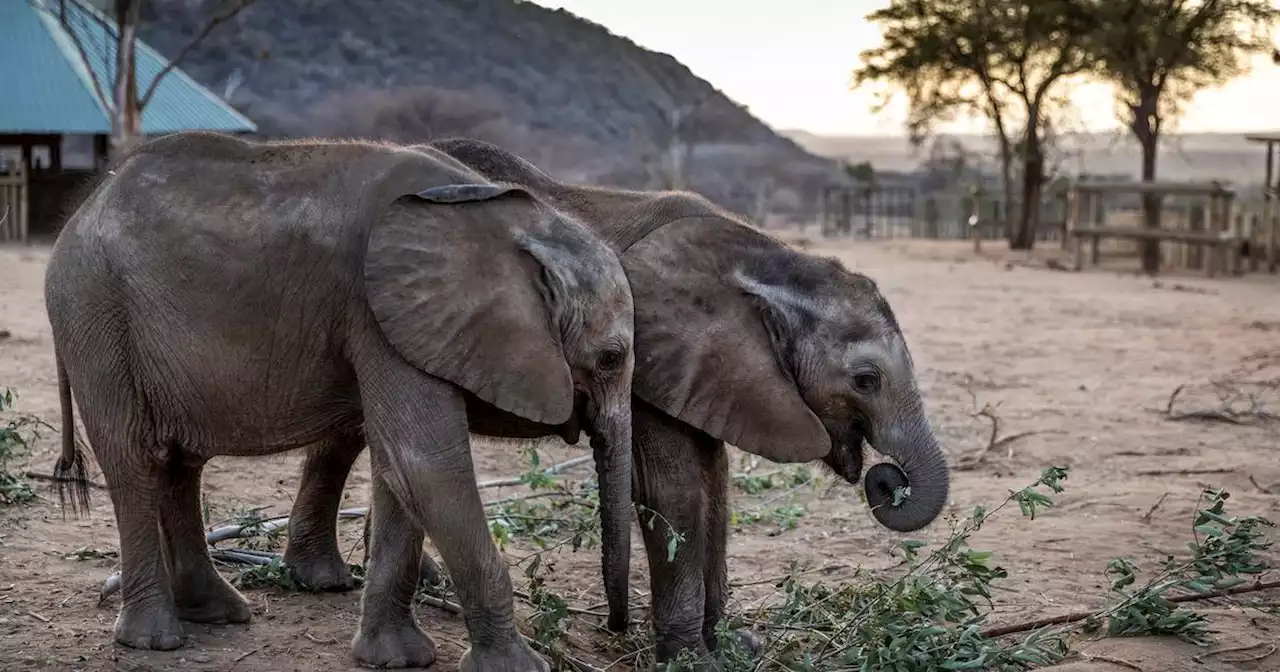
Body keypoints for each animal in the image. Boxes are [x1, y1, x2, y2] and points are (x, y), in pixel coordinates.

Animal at [41, 131, 640, 670]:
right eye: (611, 358)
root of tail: (83, 208)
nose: (618, 631)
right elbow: (424, 464)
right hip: (93, 313)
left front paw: (395, 660)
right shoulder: (379, 314)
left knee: (178, 463)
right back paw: (155, 640)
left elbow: (400, 472)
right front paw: (517, 667)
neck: (510, 215)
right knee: (133, 460)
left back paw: (217, 613)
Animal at [285, 136, 957, 660]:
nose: (887, 481)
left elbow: (715, 484)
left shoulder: (710, 373)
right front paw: (691, 658)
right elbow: (674, 490)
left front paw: (729, 646)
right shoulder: (658, 363)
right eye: (866, 380)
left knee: (351, 436)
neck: (770, 260)